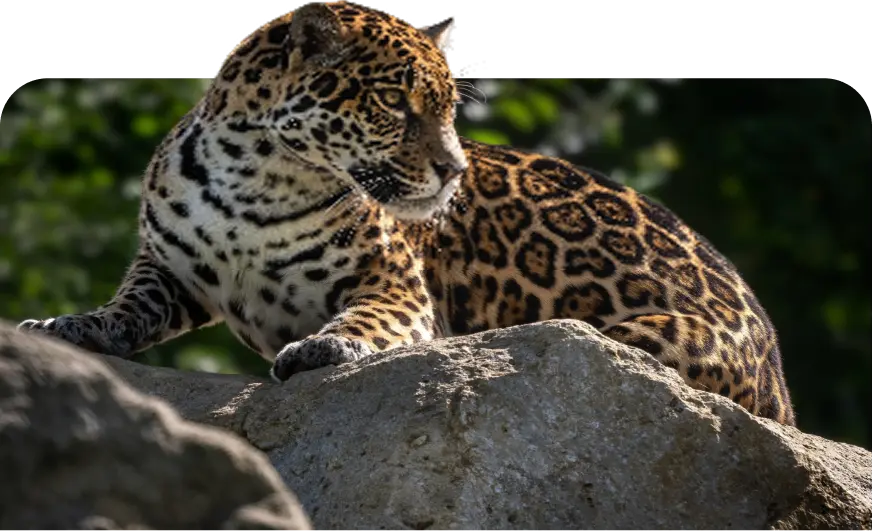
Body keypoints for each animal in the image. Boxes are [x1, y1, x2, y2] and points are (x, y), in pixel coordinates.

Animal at [17, 0, 795, 425]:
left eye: (449, 108)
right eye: (394, 102)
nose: (453, 169)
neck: (256, 180)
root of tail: (778, 367)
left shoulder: (394, 285)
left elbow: (367, 319)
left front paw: (326, 346)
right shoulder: (168, 267)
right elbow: (129, 303)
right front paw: (69, 325)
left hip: (641, 340)